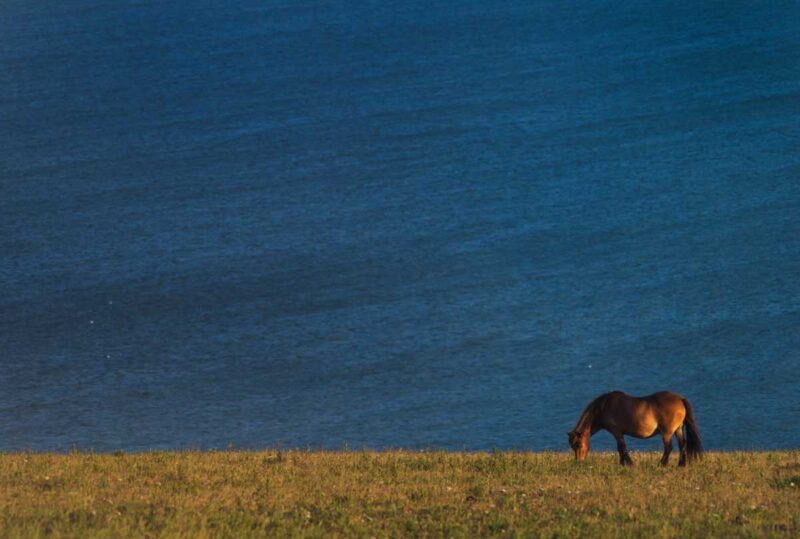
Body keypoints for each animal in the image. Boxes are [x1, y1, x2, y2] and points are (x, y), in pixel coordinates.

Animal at [564, 390, 704, 466]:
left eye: (580, 445)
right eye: (572, 446)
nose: (579, 462)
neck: (604, 407)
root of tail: (680, 399)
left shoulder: (617, 432)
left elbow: (622, 448)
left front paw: (628, 464)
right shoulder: (618, 433)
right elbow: (620, 449)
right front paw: (622, 464)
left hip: (667, 432)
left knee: (669, 448)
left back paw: (661, 464)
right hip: (678, 430)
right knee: (682, 445)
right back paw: (681, 465)